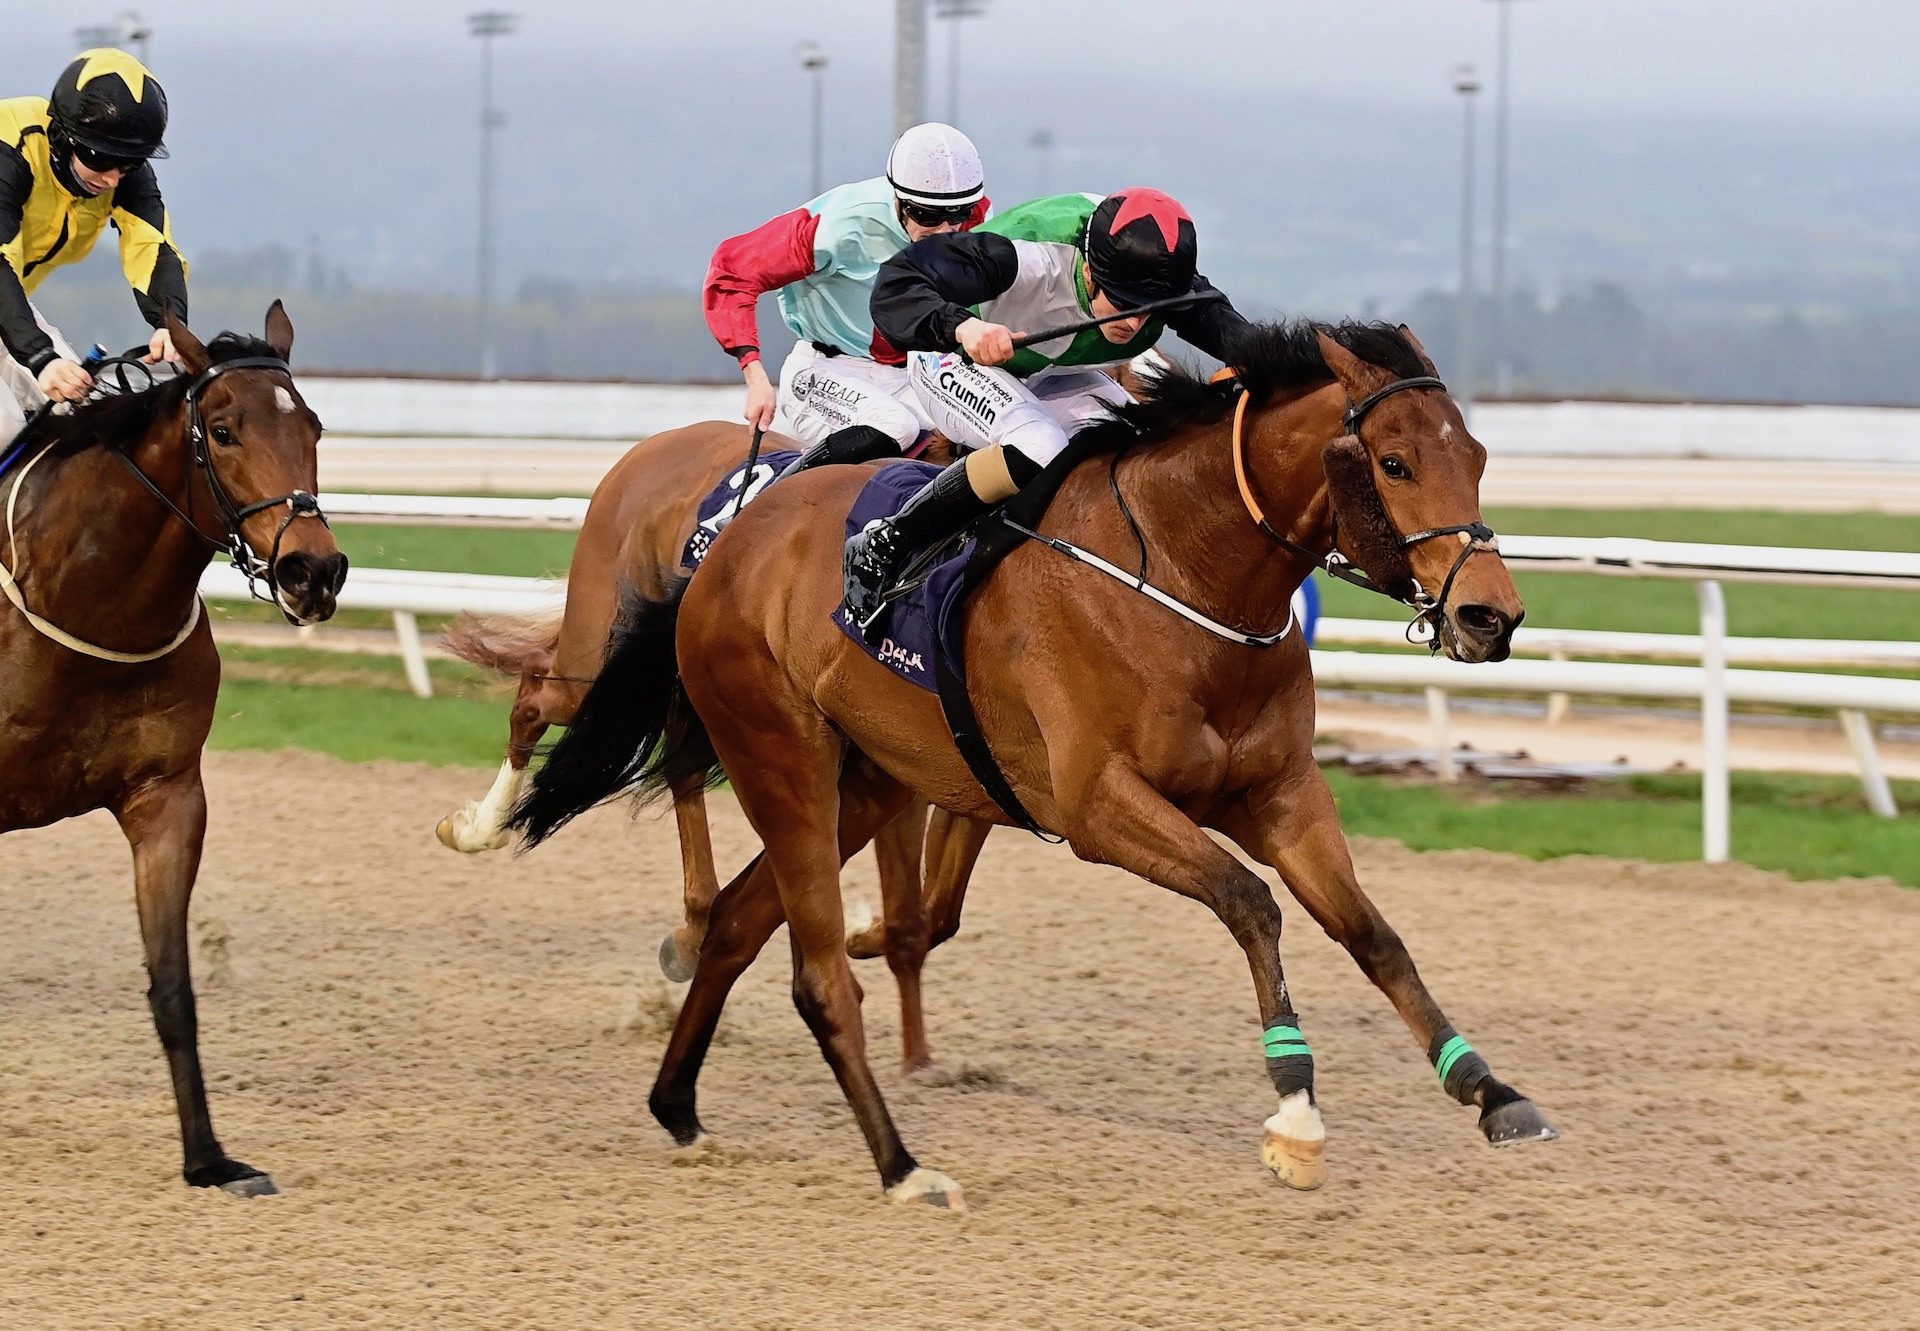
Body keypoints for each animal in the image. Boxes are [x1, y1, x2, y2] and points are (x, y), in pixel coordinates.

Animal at [0, 303, 349, 1190]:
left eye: (315, 425)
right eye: (221, 430)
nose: (313, 570)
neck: (88, 598)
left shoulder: (167, 798)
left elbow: (173, 988)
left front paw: (210, 1158)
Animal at [514, 318, 1559, 1206]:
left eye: (1477, 456)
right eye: (1394, 461)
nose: (1492, 617)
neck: (1182, 571)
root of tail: (730, 540)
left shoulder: (1280, 792)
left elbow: (1373, 934)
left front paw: (1490, 1087)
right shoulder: (1097, 806)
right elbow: (1249, 902)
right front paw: (1295, 1108)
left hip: (864, 781)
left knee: (737, 922)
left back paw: (679, 1103)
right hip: (782, 756)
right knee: (815, 974)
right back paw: (904, 1167)